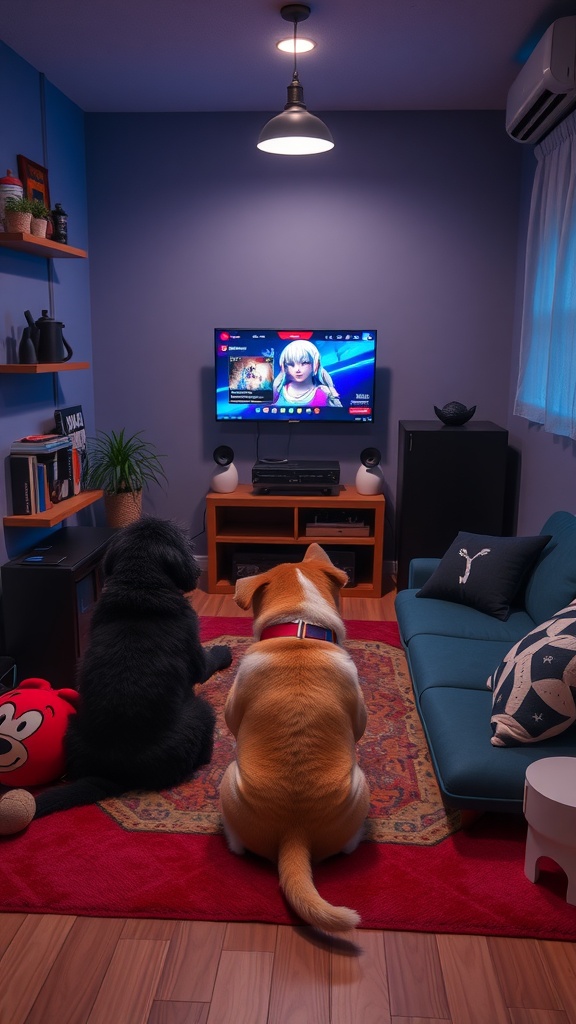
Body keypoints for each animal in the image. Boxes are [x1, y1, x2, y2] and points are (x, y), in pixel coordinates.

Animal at [33, 516, 229, 819]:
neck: (140, 586)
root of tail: (117, 774)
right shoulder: (195, 649)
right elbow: (211, 659)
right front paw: (226, 651)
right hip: (202, 712)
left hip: (73, 727)